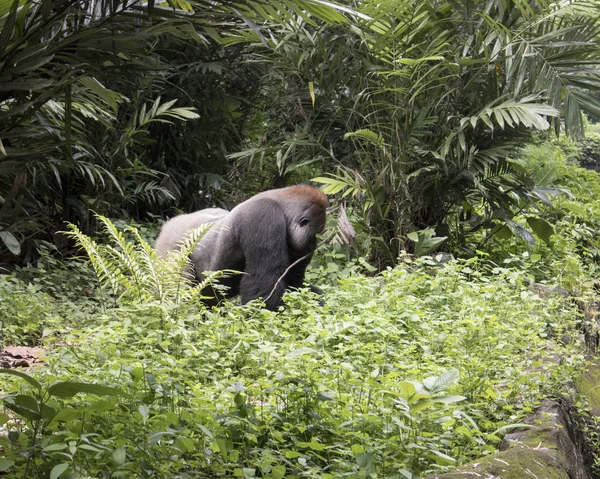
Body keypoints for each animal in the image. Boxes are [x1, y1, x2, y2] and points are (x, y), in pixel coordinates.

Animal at [152, 184, 326, 312]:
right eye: (314, 234)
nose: (313, 244)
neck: (281, 206)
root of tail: (167, 226)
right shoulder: (263, 216)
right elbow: (265, 287)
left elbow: (294, 282)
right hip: (169, 247)